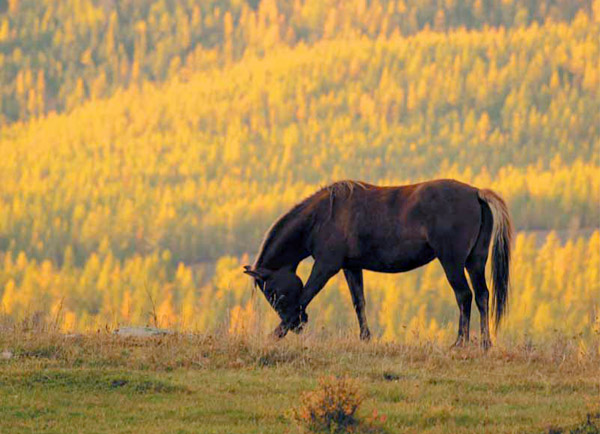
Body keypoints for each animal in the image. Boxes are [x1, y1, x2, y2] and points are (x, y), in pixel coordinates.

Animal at [243, 180, 510, 350]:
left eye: (273, 292)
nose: (299, 324)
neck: (323, 216)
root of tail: (476, 193)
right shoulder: (351, 267)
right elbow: (358, 302)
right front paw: (365, 337)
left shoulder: (326, 266)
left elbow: (306, 294)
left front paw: (276, 333)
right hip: (474, 262)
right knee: (482, 295)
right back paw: (485, 343)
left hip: (452, 262)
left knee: (464, 295)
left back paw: (460, 342)